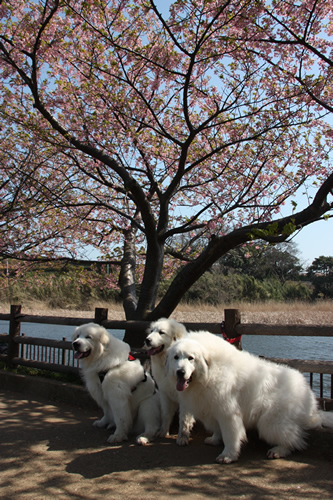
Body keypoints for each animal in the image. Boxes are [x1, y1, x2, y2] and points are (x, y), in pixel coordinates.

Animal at [167, 332, 332, 464]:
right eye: (176, 357)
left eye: (191, 358)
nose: (180, 372)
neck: (209, 371)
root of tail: (309, 399)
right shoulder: (213, 408)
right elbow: (218, 429)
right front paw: (215, 440)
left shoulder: (227, 412)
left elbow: (230, 435)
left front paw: (228, 455)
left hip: (269, 423)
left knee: (296, 441)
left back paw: (278, 450)